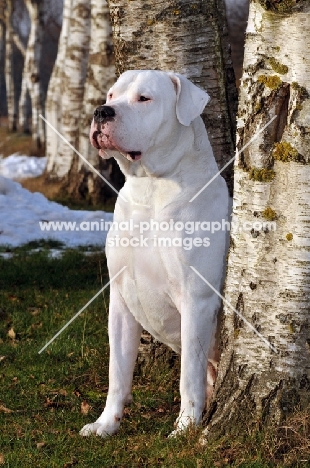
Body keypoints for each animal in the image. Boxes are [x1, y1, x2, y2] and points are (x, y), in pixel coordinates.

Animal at [80, 69, 228, 438]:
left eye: (144, 98)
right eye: (111, 94)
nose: (101, 112)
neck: (149, 186)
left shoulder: (196, 300)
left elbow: (187, 376)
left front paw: (185, 428)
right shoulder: (120, 300)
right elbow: (118, 371)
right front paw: (106, 424)